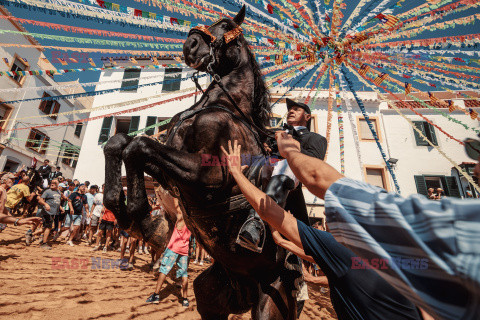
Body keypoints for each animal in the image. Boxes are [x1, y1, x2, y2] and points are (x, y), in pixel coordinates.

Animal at [105, 6, 300, 318]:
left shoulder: (208, 176)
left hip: (272, 304)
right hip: (209, 295)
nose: (191, 44)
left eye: (227, 25)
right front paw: (120, 207)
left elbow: (138, 146)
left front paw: (143, 219)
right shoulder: (168, 172)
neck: (222, 104)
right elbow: (122, 143)